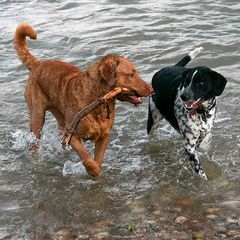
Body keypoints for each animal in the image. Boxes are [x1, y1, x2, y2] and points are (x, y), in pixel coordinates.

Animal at [14, 23, 152, 177]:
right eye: (132, 74)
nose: (152, 89)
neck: (98, 100)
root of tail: (37, 64)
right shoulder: (71, 135)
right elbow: (86, 158)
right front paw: (92, 170)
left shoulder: (104, 136)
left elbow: (98, 158)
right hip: (37, 116)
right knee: (35, 140)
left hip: (59, 116)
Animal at [147, 47, 228, 180]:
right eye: (186, 81)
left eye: (200, 83)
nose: (183, 96)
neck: (201, 113)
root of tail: (165, 69)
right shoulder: (189, 145)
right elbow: (200, 171)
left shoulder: (200, 137)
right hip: (153, 119)